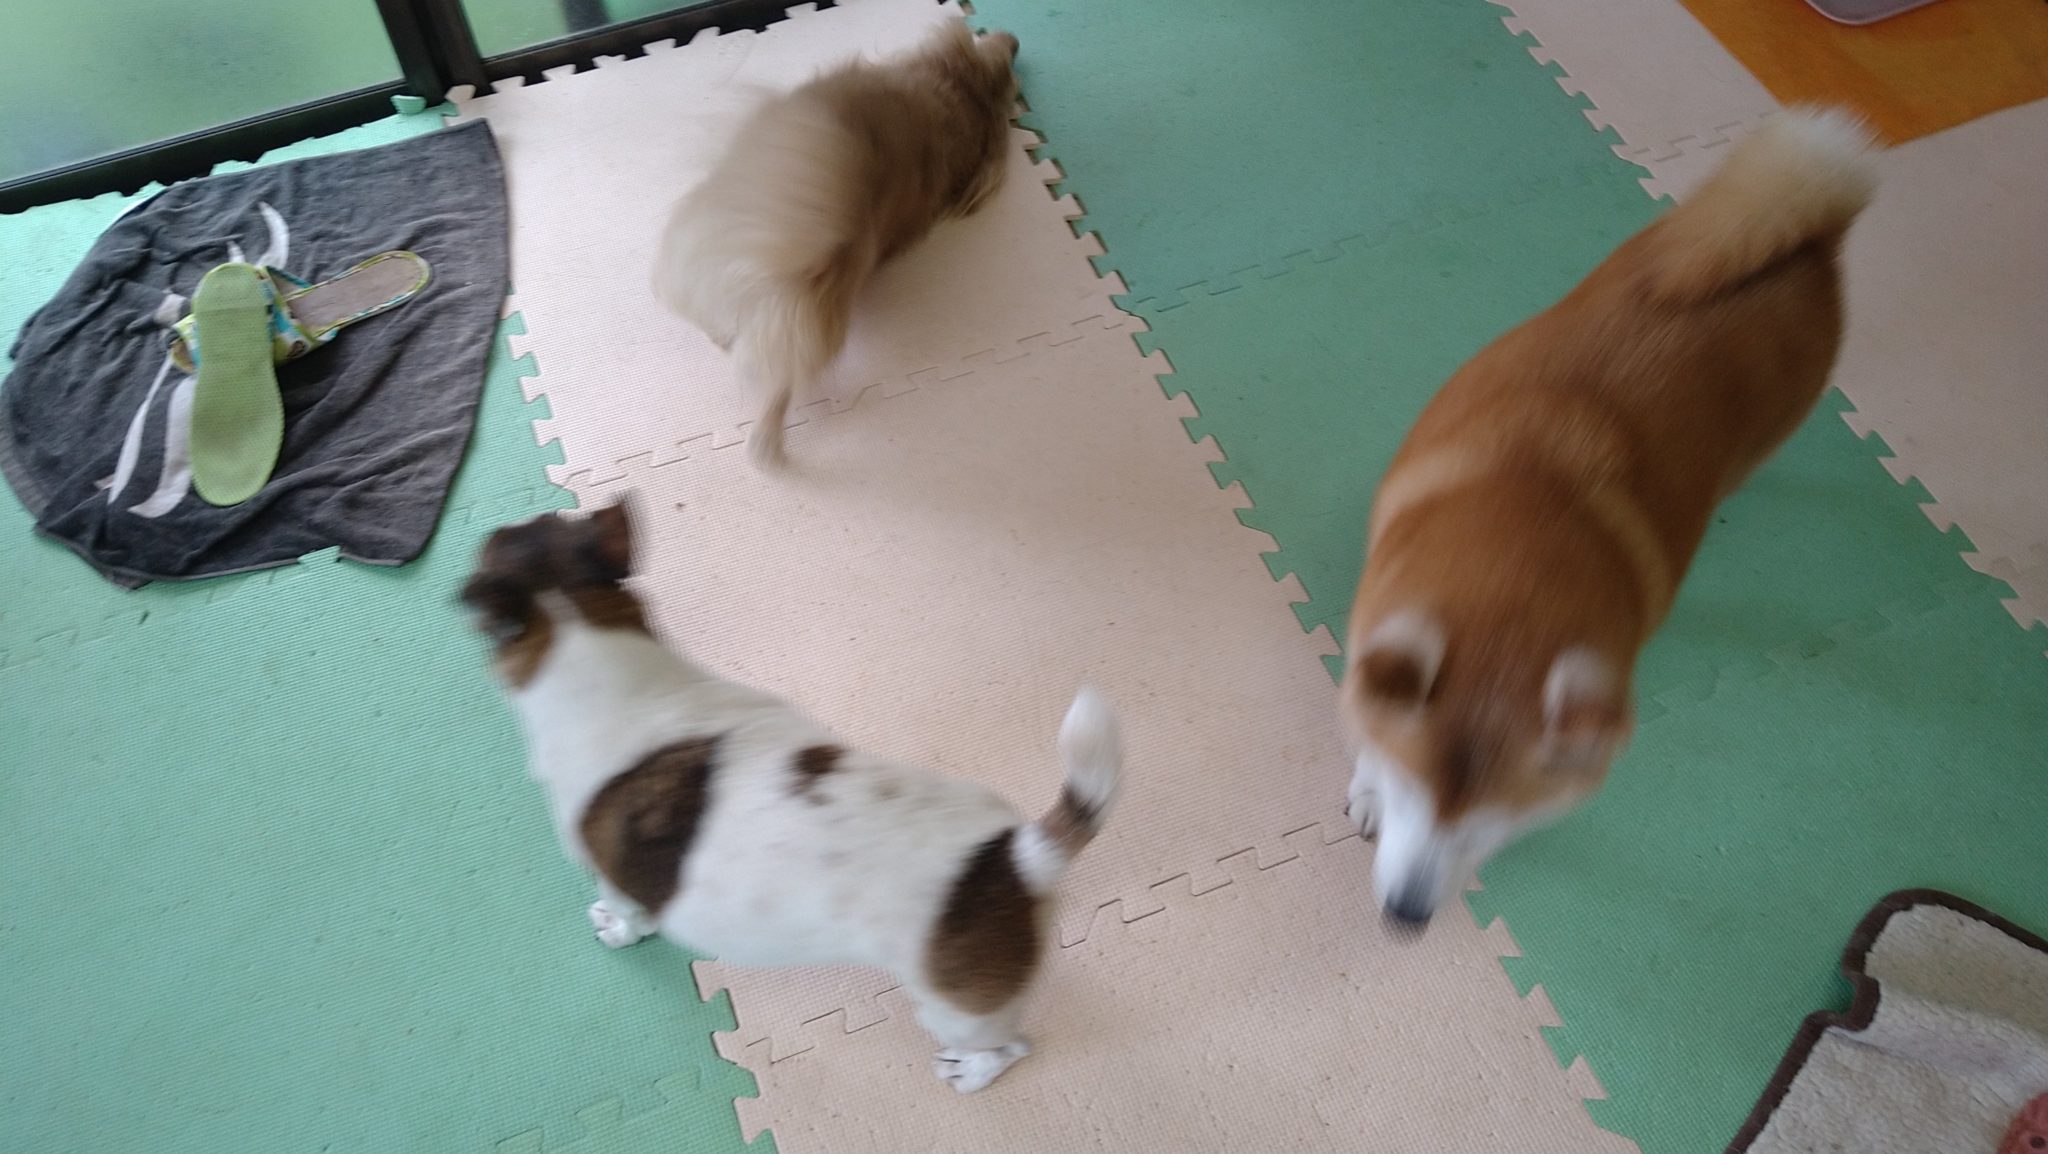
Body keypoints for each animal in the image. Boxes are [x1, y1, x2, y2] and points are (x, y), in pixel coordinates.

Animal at [460, 499, 1121, 1092]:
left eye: (489, 546)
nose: (489, 527)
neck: (591, 642)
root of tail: (1013, 858)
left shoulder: (611, 873)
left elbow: (625, 911)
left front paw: (619, 930)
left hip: (954, 1008)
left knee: (1012, 1046)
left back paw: (973, 1071)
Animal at [1340, 109, 1879, 929]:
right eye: (1409, 798)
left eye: (1489, 830)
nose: (1407, 916)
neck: (1516, 576)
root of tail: (1812, 243)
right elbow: (1367, 729)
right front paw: (1366, 782)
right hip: (1658, 250)